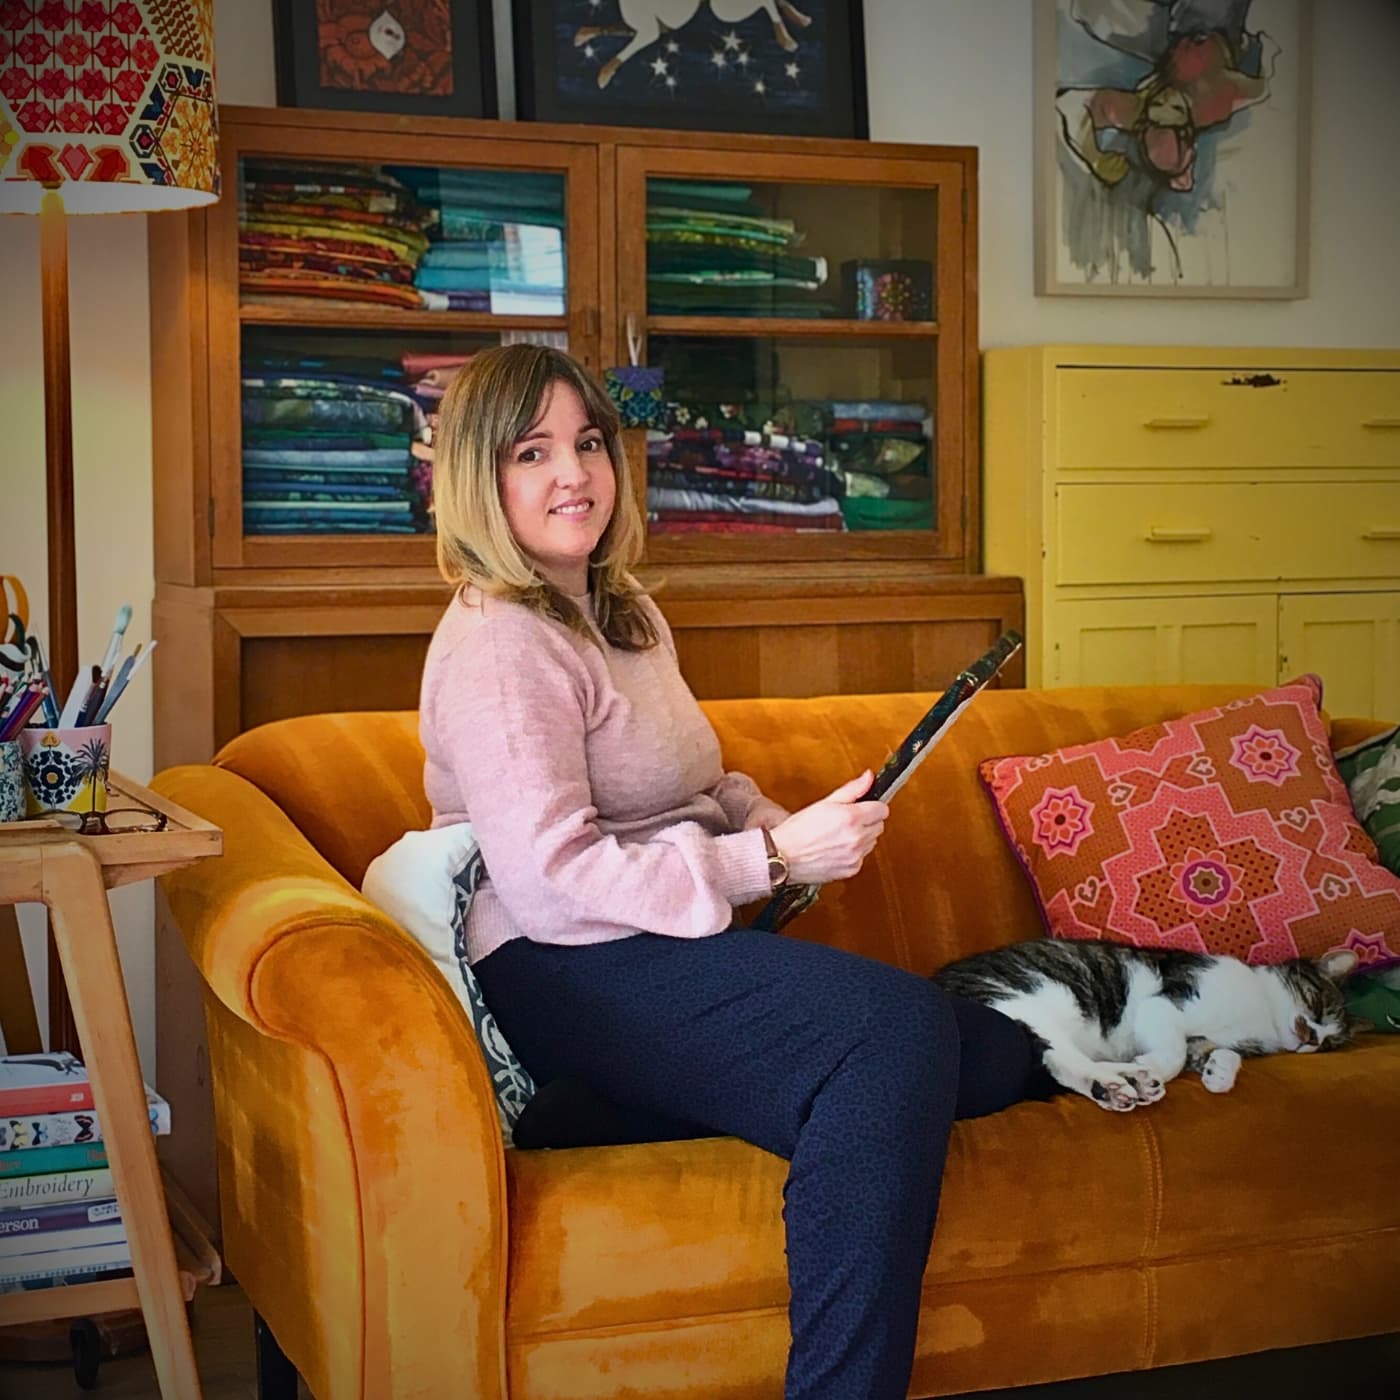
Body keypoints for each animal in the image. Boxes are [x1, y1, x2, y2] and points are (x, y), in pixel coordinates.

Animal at [935, 940, 1360, 1114]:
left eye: (1328, 1044)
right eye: (1318, 1005)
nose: (1310, 1039)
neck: (1261, 1016)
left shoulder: (1208, 1038)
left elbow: (1217, 1051)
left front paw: (1219, 1073)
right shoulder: (1168, 1002)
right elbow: (1173, 1052)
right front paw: (1154, 1064)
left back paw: (1127, 1080)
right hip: (1016, 999)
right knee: (1060, 1056)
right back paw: (1118, 1082)